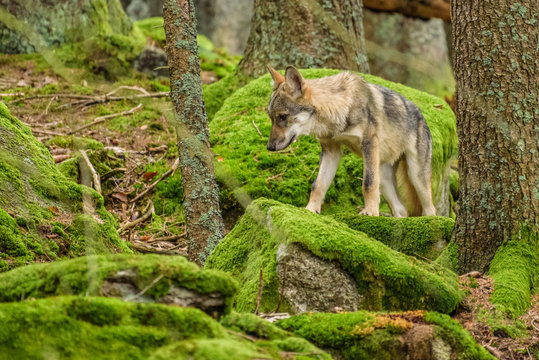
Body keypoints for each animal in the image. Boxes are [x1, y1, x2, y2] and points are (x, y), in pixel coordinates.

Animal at [266, 64, 438, 217]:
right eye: (271, 118)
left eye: (282, 116)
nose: (269, 147)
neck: (340, 109)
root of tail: (421, 116)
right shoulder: (331, 151)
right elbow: (318, 185)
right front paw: (310, 210)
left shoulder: (369, 143)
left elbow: (368, 183)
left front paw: (370, 213)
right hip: (384, 178)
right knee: (402, 210)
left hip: (416, 176)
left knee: (430, 208)